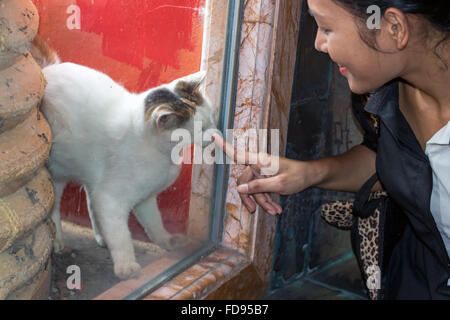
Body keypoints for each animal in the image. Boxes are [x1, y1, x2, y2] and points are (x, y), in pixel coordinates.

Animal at [30, 36, 217, 278]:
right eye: (202, 128)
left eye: (212, 119)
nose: (216, 134)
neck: (162, 154)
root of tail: (48, 70)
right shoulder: (110, 199)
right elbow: (121, 235)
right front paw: (126, 266)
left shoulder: (145, 198)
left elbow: (154, 223)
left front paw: (166, 241)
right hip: (57, 173)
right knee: (55, 208)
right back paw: (59, 242)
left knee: (90, 199)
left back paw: (100, 237)